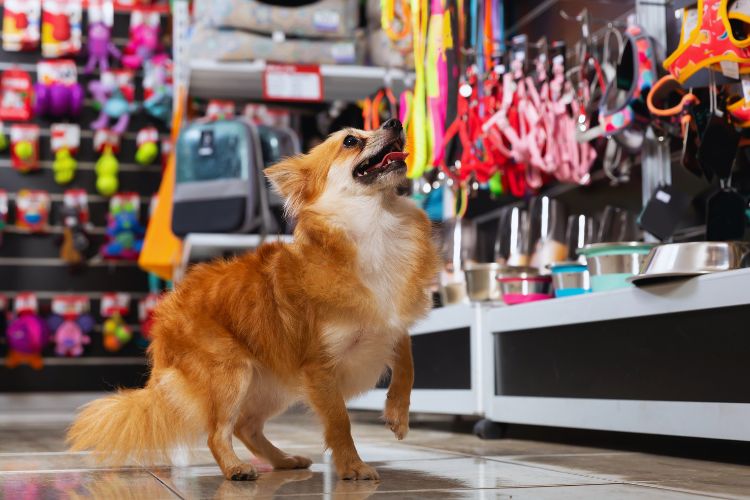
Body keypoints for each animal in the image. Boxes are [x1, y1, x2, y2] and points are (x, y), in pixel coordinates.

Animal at [67, 119, 440, 482]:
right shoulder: (319, 366)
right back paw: (236, 468)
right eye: (350, 141)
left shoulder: (390, 325)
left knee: (246, 427)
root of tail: (164, 319)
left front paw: (397, 414)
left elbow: (407, 362)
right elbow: (339, 421)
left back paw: (283, 460)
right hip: (231, 373)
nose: (394, 121)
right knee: (218, 433)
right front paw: (352, 466)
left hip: (275, 385)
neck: (376, 224)